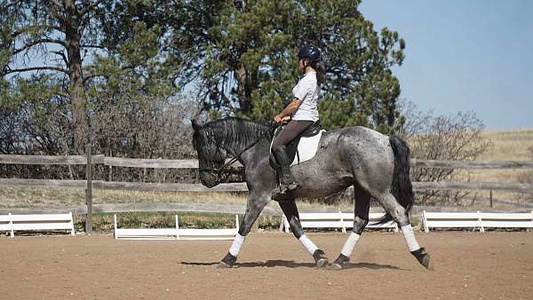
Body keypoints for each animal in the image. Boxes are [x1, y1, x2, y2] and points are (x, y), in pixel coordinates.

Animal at [192, 116, 432, 270]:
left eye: (201, 149)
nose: (206, 180)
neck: (255, 149)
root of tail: (385, 138)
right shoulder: (285, 197)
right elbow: (297, 228)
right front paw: (319, 257)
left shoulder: (259, 196)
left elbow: (244, 226)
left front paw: (227, 259)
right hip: (362, 187)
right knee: (360, 221)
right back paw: (339, 261)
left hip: (377, 188)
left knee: (399, 213)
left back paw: (421, 256)